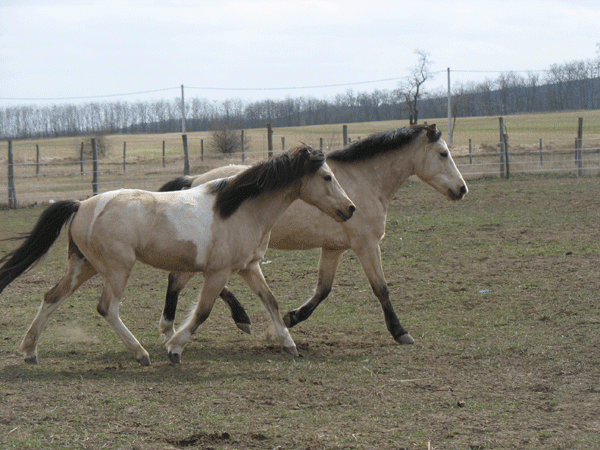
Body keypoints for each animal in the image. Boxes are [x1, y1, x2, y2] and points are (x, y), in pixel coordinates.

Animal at [0, 146, 356, 364]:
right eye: (327, 177)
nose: (350, 209)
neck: (240, 209)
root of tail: (80, 204)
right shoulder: (218, 272)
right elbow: (202, 312)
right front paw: (174, 348)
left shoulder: (249, 267)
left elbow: (271, 301)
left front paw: (289, 344)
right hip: (117, 268)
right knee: (106, 308)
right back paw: (141, 354)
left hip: (84, 266)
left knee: (51, 297)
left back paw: (30, 351)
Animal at [157, 123, 466, 344]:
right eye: (443, 153)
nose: (462, 189)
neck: (363, 182)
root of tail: (194, 181)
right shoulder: (366, 245)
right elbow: (381, 289)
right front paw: (401, 333)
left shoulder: (333, 249)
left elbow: (323, 289)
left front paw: (289, 320)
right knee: (182, 278)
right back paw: (217, 322)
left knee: (186, 279)